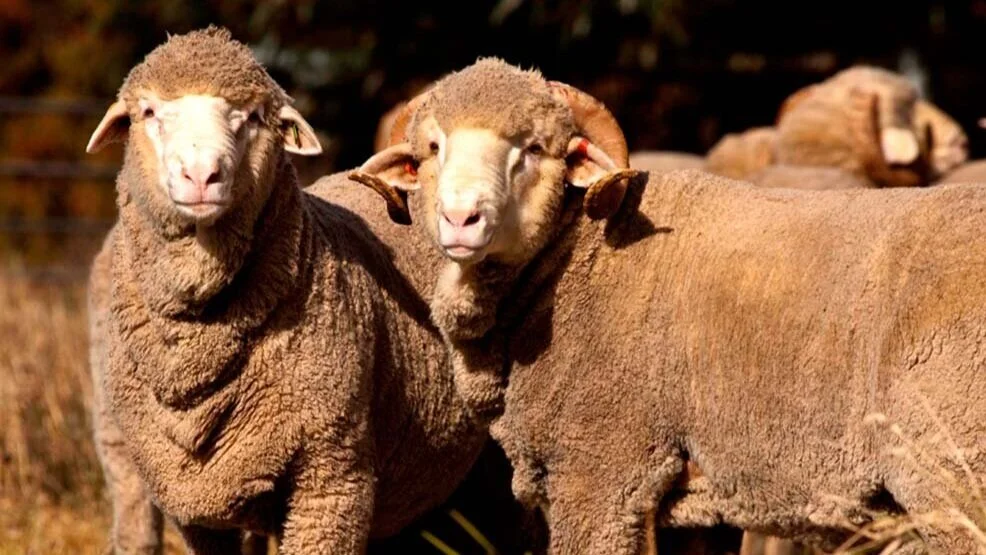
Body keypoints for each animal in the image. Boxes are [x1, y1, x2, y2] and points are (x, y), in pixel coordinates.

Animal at [353, 57, 986, 554]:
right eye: (432, 148)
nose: (461, 218)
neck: (573, 261)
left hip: (951, 469)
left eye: (533, 148)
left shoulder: (601, 470)